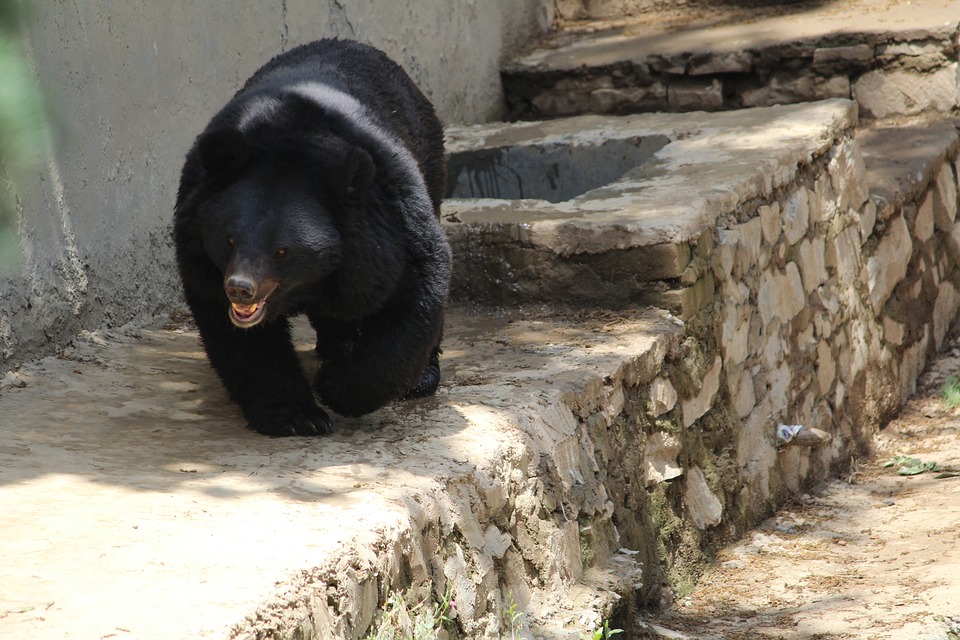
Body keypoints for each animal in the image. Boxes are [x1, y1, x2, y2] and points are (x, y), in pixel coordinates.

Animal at [172, 36, 450, 436]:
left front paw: (336, 387)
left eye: (283, 250)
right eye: (228, 239)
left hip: (429, 158)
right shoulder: (197, 243)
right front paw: (296, 416)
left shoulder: (388, 222)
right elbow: (237, 334)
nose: (240, 289)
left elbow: (415, 293)